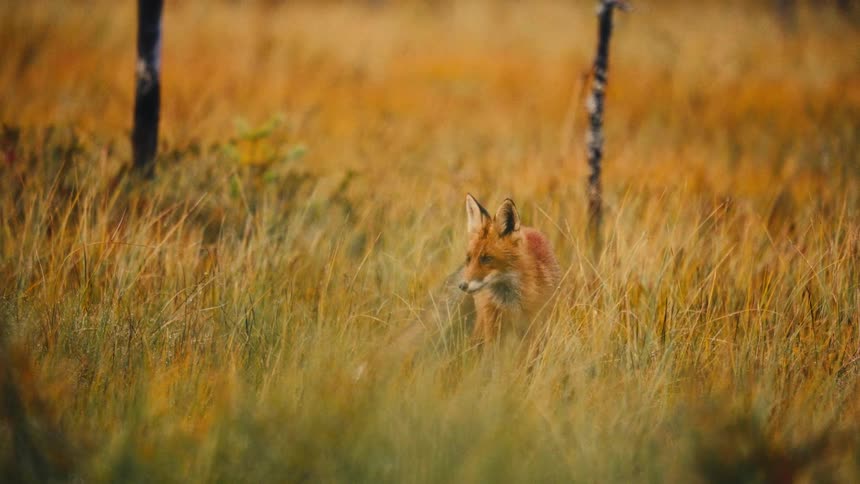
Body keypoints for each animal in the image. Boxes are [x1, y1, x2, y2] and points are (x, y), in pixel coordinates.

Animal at [460, 194, 561, 345]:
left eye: (487, 259)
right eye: (468, 258)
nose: (462, 285)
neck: (511, 304)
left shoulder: (535, 327)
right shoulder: (492, 327)